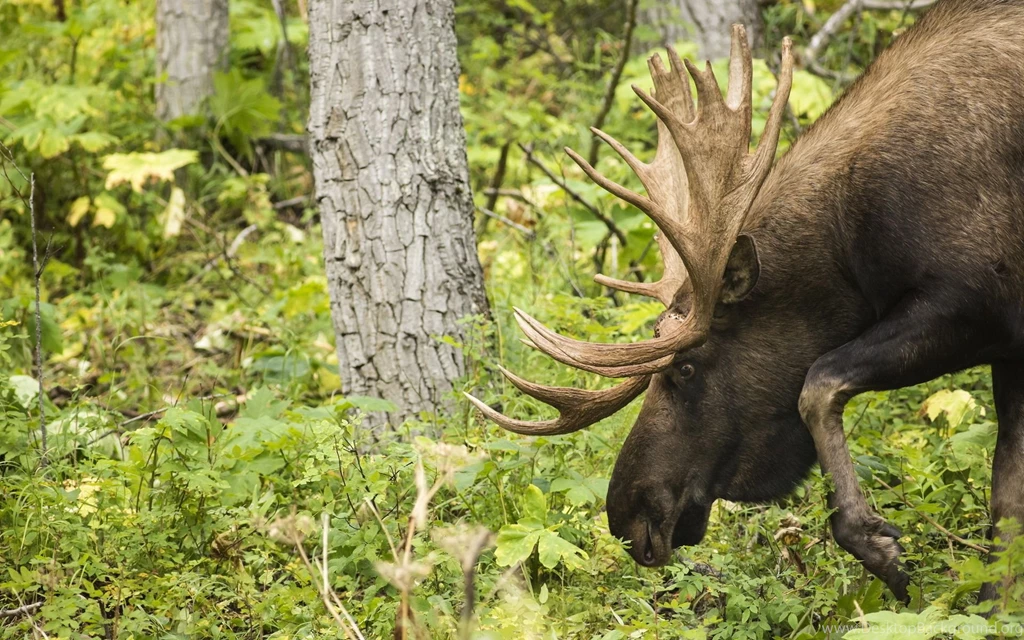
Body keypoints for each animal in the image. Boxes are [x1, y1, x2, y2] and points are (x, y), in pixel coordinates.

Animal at [465, 0, 1024, 604]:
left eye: (685, 368)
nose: (628, 517)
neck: (855, 242)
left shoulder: (976, 302)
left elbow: (818, 382)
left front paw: (881, 548)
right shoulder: (1007, 346)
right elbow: (1007, 500)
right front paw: (989, 606)